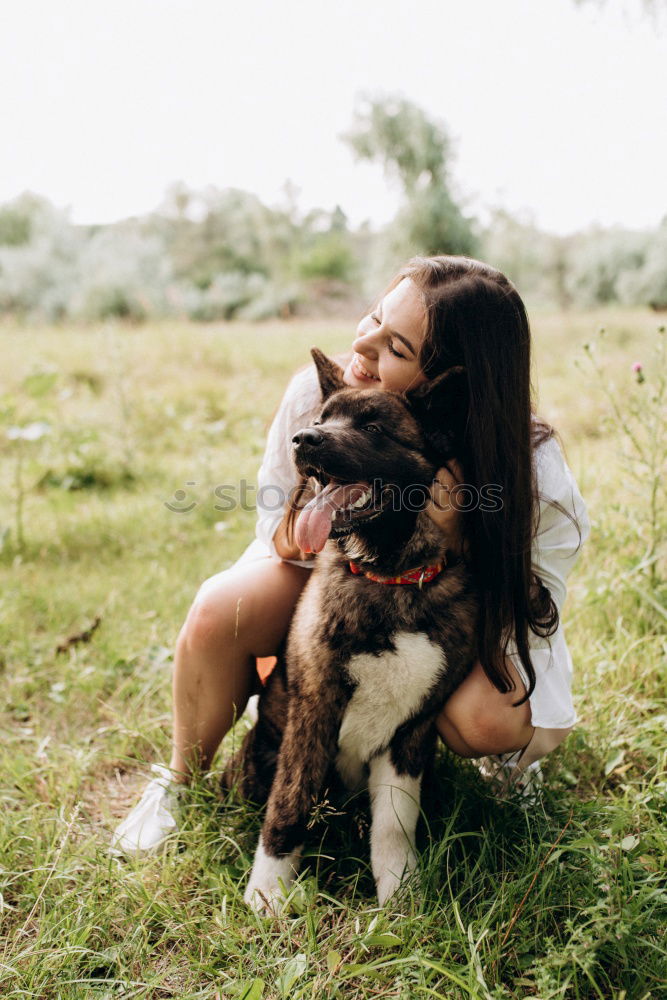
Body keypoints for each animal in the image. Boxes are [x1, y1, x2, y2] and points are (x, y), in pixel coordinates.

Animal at [227, 348, 478, 912]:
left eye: (373, 427)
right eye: (321, 421)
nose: (304, 440)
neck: (392, 580)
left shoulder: (413, 733)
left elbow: (393, 826)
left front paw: (400, 896)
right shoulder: (314, 711)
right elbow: (289, 807)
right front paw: (267, 896)